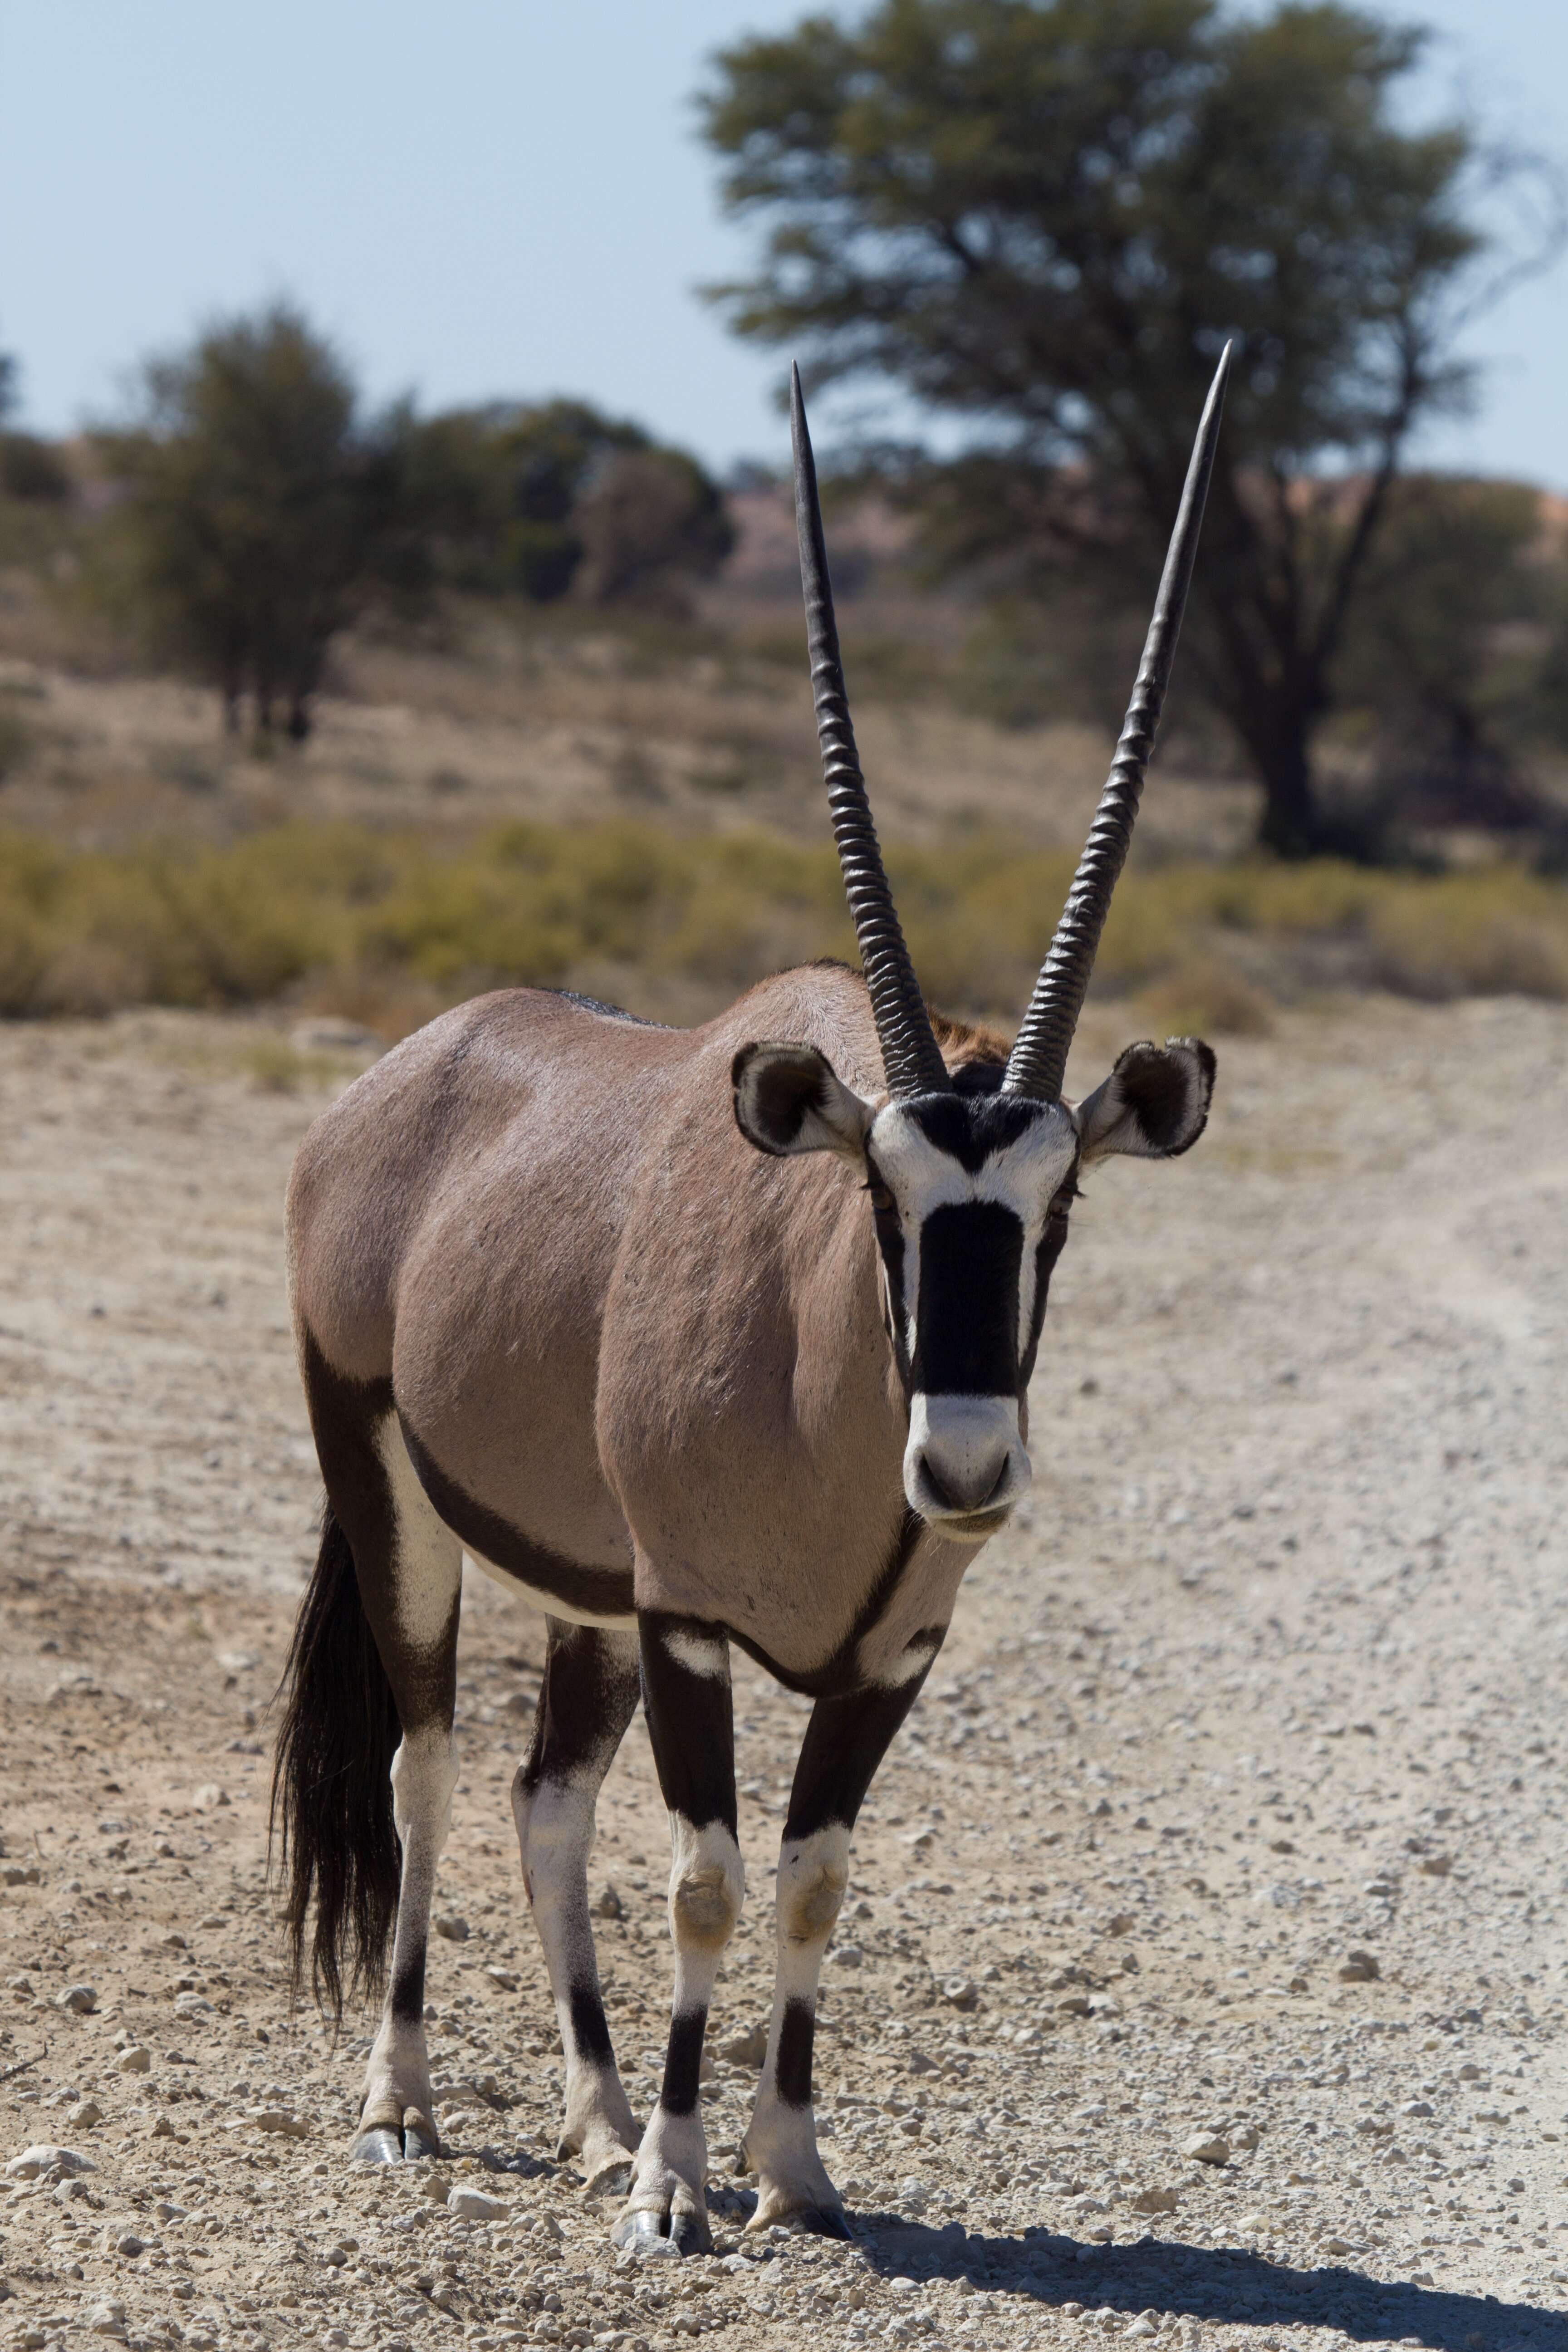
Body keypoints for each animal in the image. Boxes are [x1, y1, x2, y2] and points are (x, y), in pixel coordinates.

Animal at [270, 343, 1232, 2239]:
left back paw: (582, 2111)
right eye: (879, 1196)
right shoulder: (694, 1623)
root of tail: (393, 1085)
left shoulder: (884, 1656)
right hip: (396, 1496)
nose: (963, 1471)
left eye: (1060, 1202)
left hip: (584, 1594)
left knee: (541, 1799)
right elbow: (707, 1881)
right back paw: (407, 2102)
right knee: (426, 1765)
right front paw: (674, 2184)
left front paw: (785, 2166)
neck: (826, 1389)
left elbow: (808, 1883)